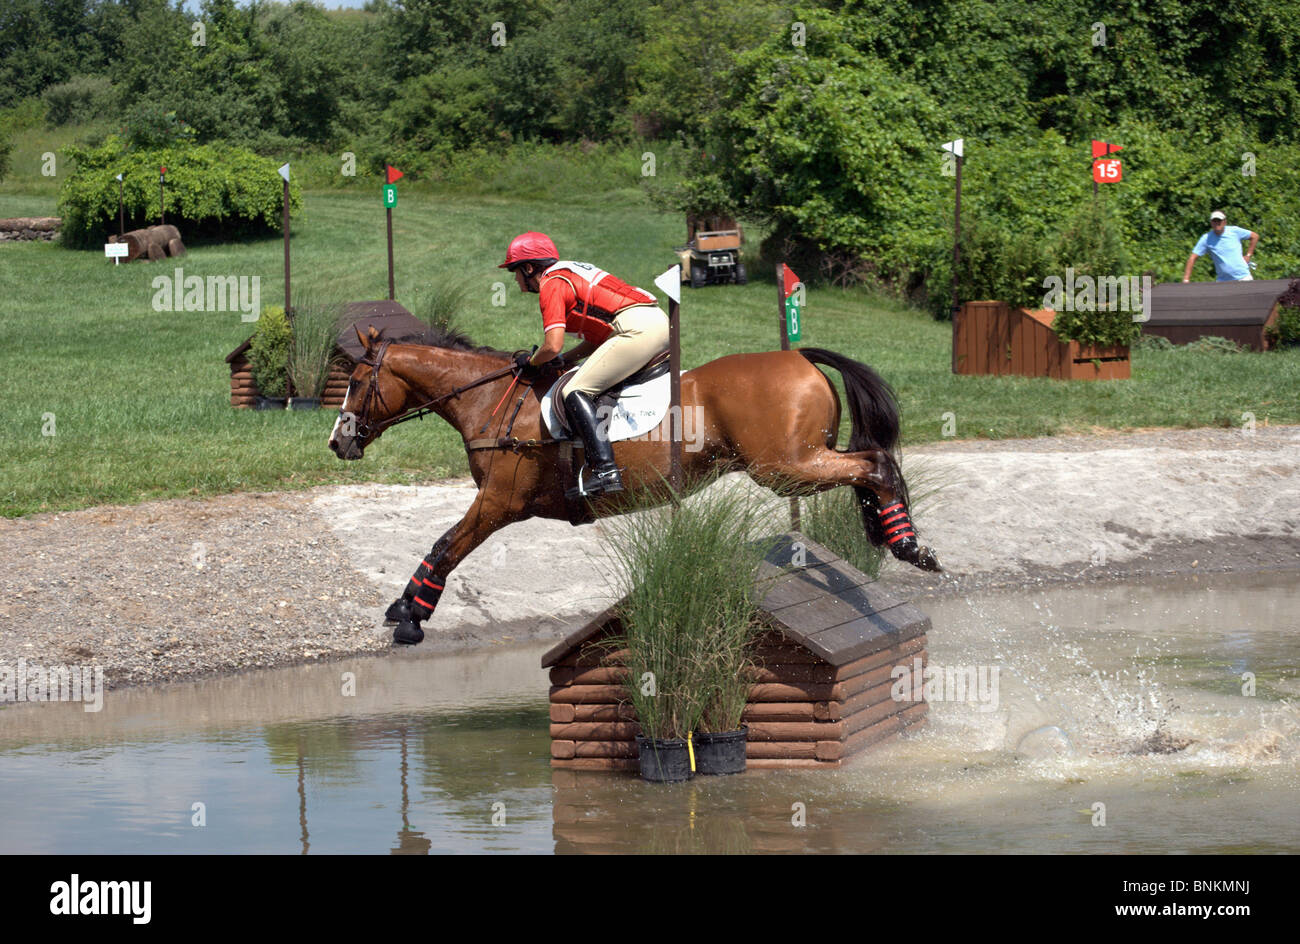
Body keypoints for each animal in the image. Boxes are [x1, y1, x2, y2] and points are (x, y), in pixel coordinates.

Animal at [330, 323, 941, 642]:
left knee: (875, 464)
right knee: (870, 462)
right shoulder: (499, 503)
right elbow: (446, 545)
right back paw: (897, 537)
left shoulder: (499, 502)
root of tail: (801, 358)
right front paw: (407, 610)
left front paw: (408, 615)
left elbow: (445, 546)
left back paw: (907, 545)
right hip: (796, 463)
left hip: (784, 467)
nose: (338, 441)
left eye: (356, 381)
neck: (489, 401)